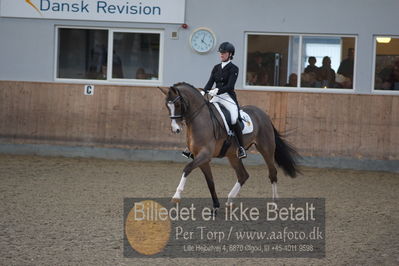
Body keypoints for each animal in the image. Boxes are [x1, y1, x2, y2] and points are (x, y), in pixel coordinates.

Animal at [159, 82, 300, 209]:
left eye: (177, 104)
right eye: (167, 105)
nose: (175, 129)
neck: (200, 120)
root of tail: (263, 115)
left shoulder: (205, 155)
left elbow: (187, 168)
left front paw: (176, 196)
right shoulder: (201, 158)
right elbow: (210, 182)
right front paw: (216, 205)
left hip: (266, 149)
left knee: (272, 173)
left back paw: (274, 203)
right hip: (233, 155)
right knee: (243, 175)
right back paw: (230, 200)